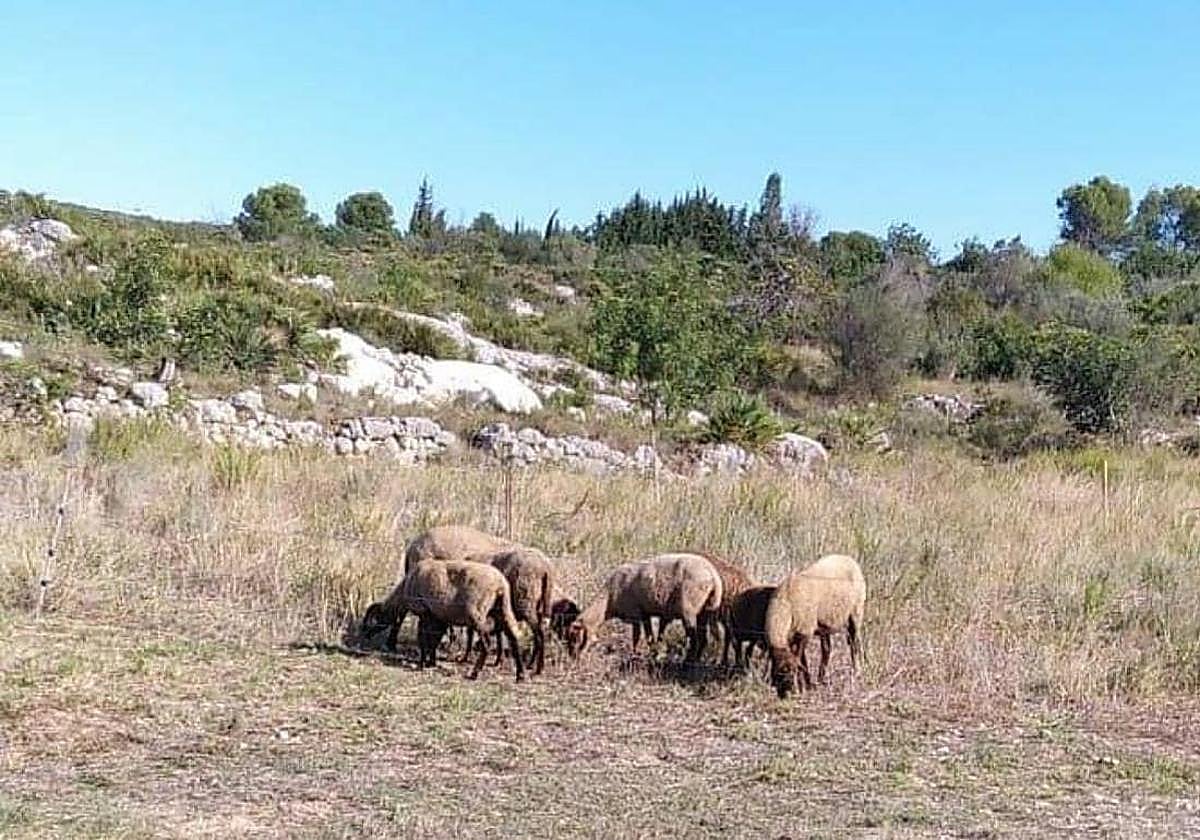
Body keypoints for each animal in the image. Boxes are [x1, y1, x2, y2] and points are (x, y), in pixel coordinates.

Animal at [361, 559, 526, 682]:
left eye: (375, 619)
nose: (365, 635)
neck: (404, 589)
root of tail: (500, 584)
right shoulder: (439, 617)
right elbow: (434, 639)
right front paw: (431, 662)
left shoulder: (424, 612)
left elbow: (423, 638)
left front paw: (422, 663)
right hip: (503, 609)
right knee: (513, 638)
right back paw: (520, 675)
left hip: (477, 613)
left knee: (487, 644)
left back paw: (474, 673)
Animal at [461, 546, 556, 675]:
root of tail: (545, 568)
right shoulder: (496, 611)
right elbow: (499, 634)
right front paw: (498, 660)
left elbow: (470, 633)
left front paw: (466, 657)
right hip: (541, 603)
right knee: (540, 631)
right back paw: (532, 664)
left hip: (525, 601)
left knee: (539, 633)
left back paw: (538, 668)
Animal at [566, 553, 723, 664]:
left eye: (574, 637)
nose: (573, 657)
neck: (607, 602)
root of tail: (713, 576)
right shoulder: (644, 614)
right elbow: (649, 636)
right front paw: (653, 653)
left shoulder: (635, 613)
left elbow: (636, 636)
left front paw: (634, 654)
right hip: (706, 610)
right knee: (707, 638)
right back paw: (704, 660)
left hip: (689, 608)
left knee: (695, 639)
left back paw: (687, 662)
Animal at [764, 554, 865, 699]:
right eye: (777, 675)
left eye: (792, 672)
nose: (788, 694)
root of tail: (849, 559)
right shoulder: (794, 637)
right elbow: (802, 660)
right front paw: (807, 684)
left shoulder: (804, 632)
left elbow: (800, 660)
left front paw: (803, 685)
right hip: (825, 625)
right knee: (827, 649)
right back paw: (820, 679)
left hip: (856, 613)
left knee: (854, 644)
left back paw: (857, 671)